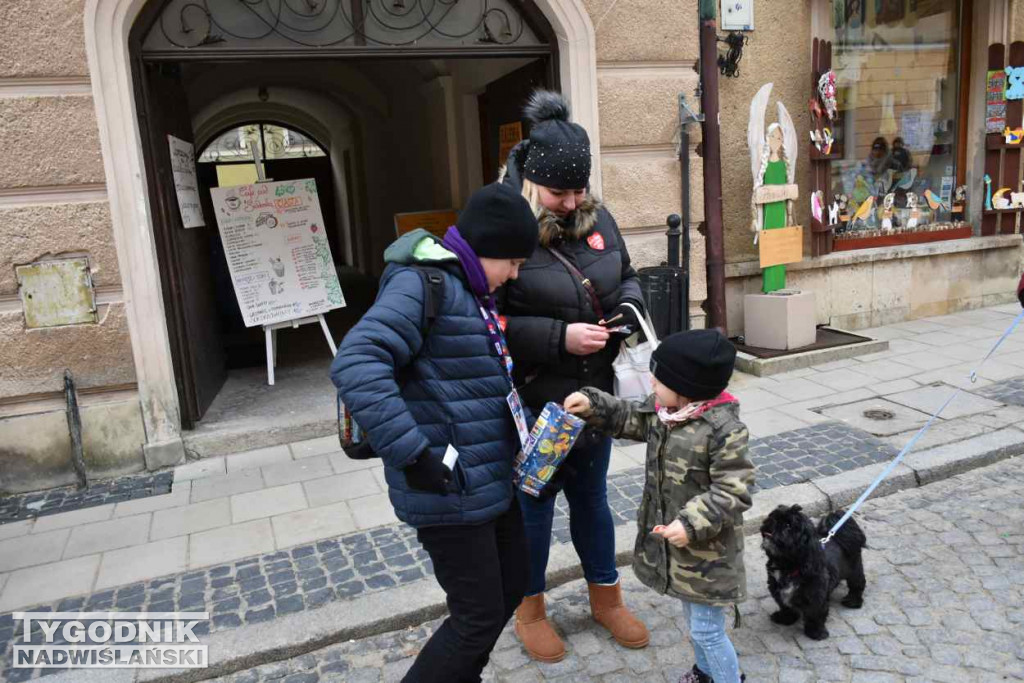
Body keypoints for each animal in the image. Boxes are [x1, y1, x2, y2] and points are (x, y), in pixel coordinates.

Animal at [761, 501, 864, 643]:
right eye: (773, 516)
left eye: (788, 525)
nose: (772, 521)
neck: (789, 567)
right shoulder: (777, 591)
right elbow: (786, 607)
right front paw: (785, 619)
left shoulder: (815, 599)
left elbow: (815, 615)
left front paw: (816, 632)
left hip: (854, 570)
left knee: (857, 585)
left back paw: (853, 601)